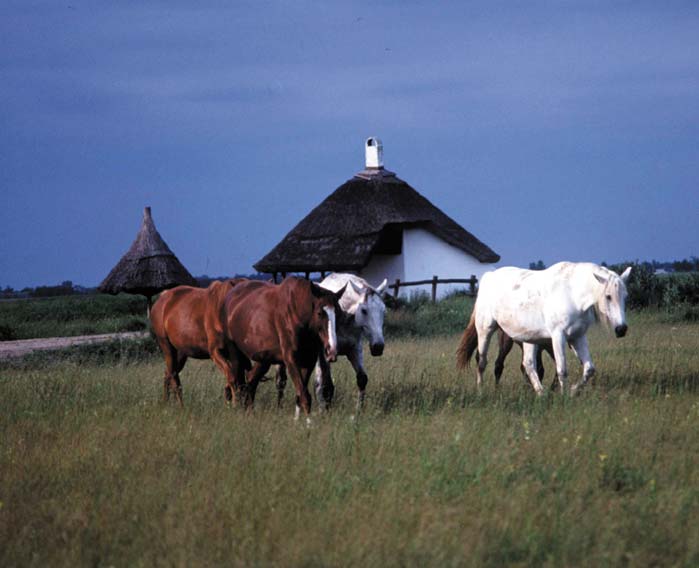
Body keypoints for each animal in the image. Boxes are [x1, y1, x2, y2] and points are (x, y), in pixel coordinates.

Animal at [223, 278, 346, 420]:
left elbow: (300, 395)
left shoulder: (308, 362)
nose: (332, 350)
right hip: (235, 355)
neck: (296, 312)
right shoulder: (291, 360)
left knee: (251, 380)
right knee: (237, 384)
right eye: (320, 313)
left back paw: (249, 413)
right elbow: (304, 396)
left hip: (263, 360)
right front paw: (308, 423)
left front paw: (298, 421)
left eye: (339, 313)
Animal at [456, 262, 632, 392]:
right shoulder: (558, 337)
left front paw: (573, 391)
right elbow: (562, 370)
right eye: (608, 296)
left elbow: (589, 369)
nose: (621, 329)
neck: (571, 293)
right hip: (486, 330)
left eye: (625, 296)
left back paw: (540, 393)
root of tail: (489, 276)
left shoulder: (577, 337)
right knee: (482, 362)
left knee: (528, 365)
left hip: (529, 340)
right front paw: (564, 396)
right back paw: (481, 391)